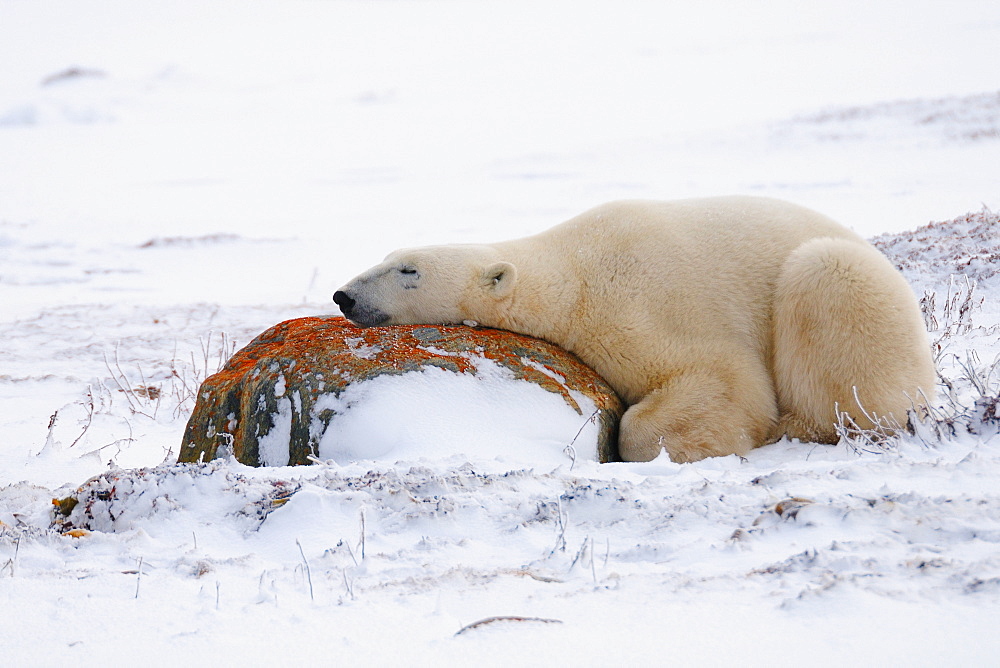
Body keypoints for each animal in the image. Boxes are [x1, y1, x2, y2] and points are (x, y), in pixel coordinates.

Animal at [336, 196, 936, 462]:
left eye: (408, 270)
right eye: (386, 257)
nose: (345, 296)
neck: (574, 273)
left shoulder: (651, 305)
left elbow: (727, 384)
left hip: (851, 291)